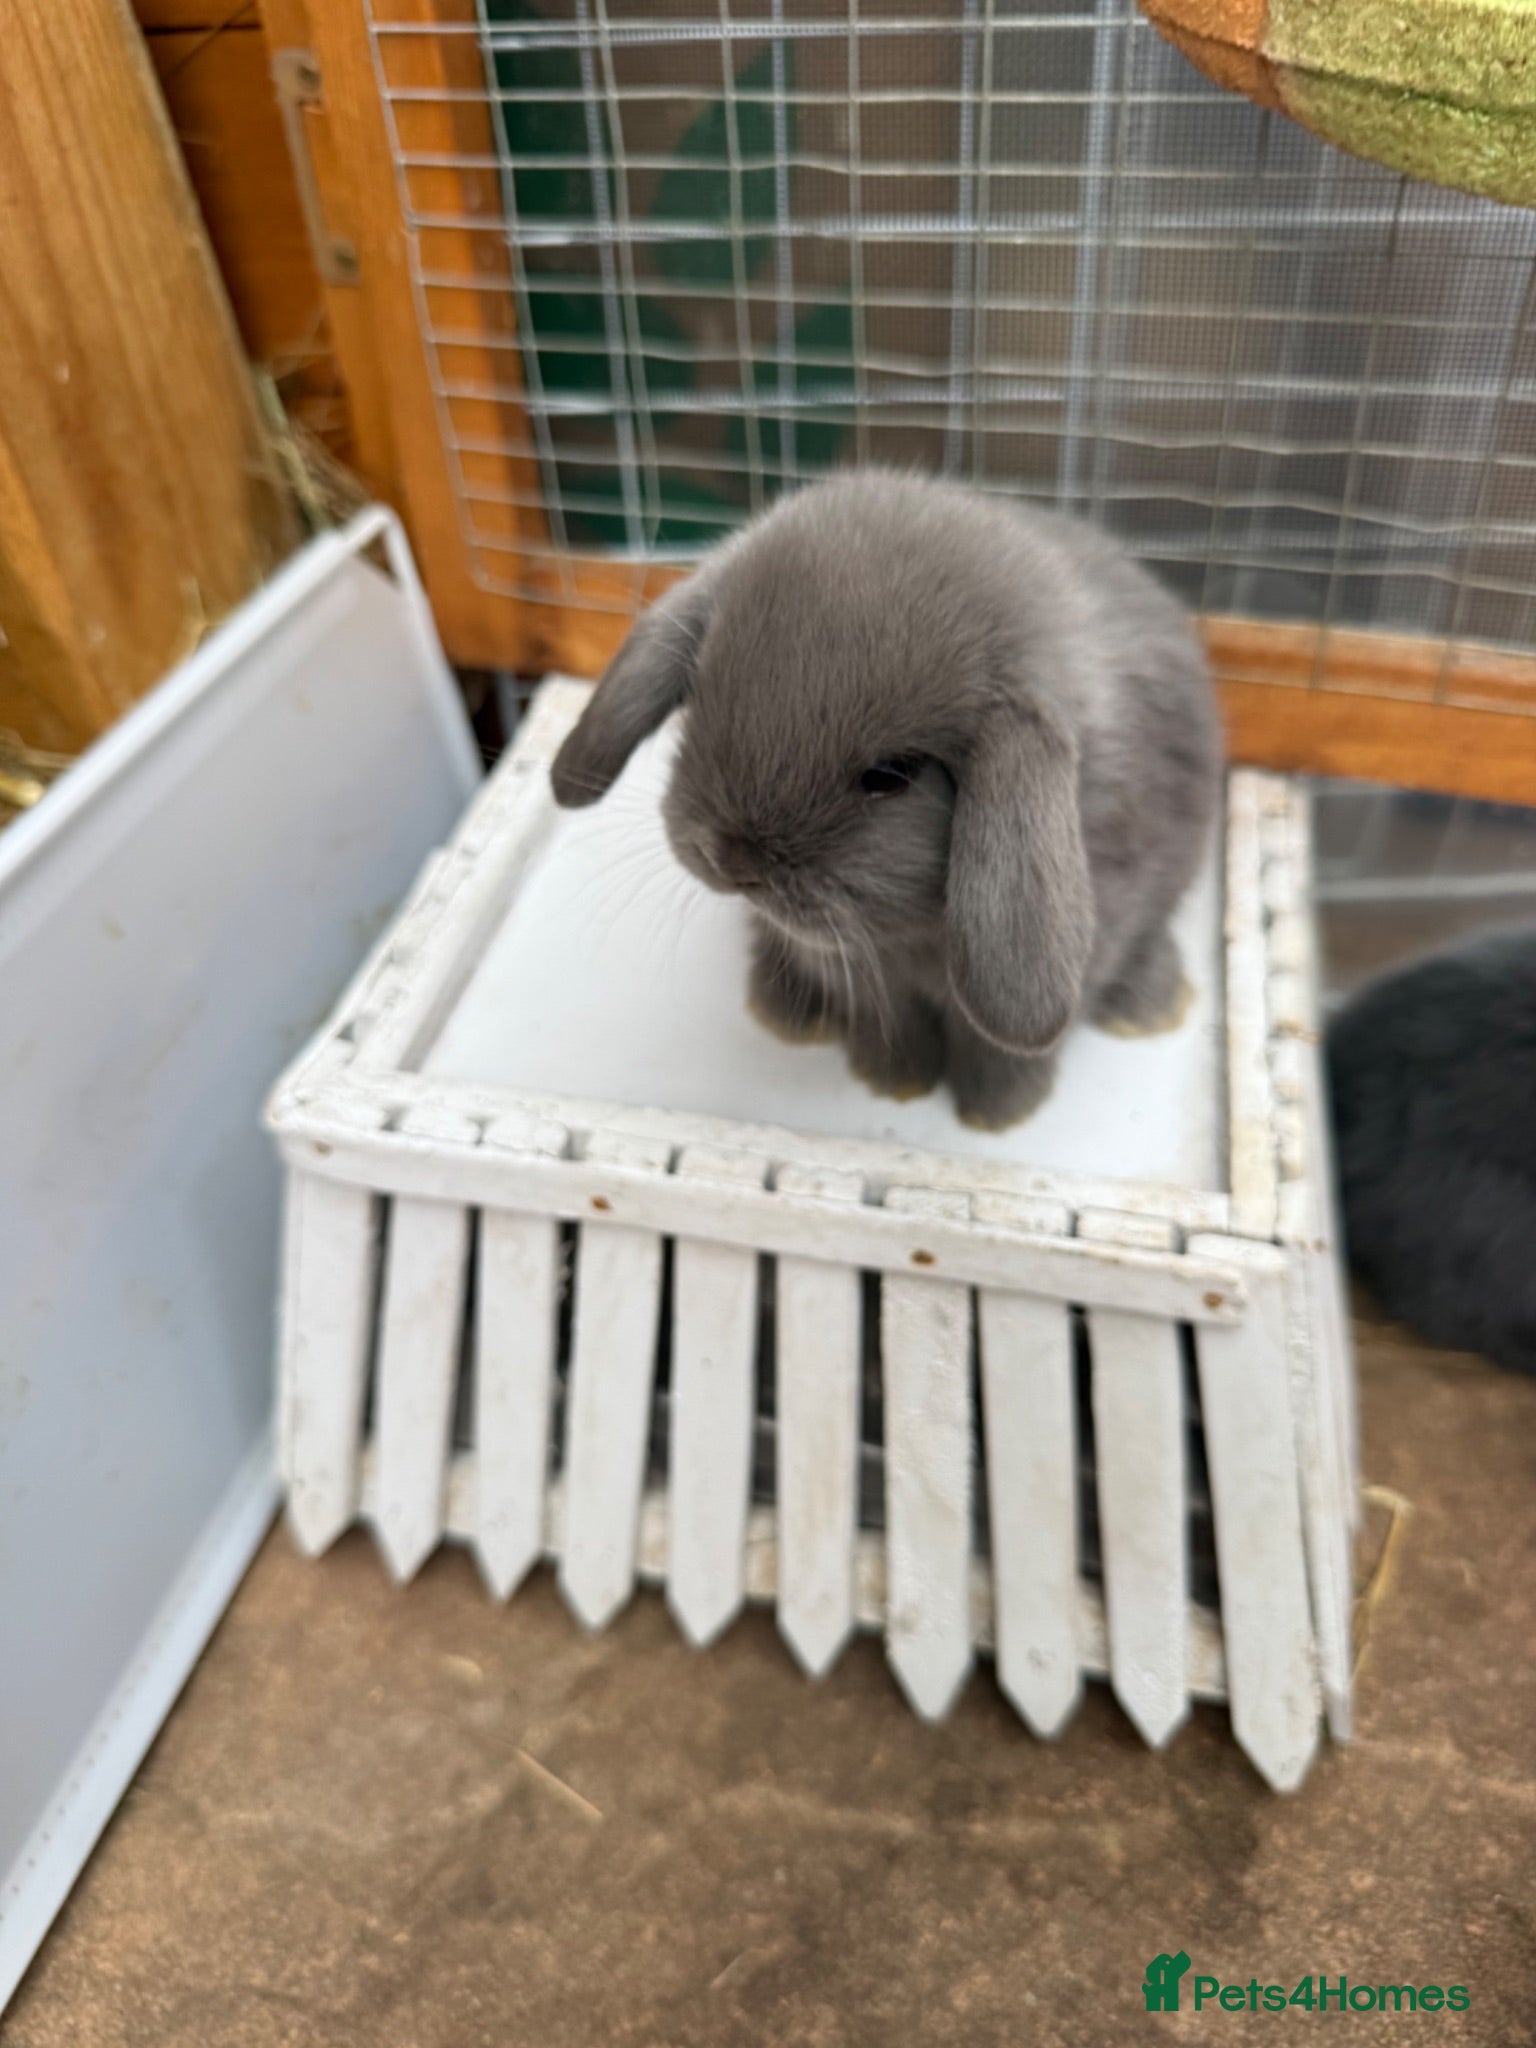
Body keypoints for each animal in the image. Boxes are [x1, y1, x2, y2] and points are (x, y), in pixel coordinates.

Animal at [550, 470, 1222, 1128]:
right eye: (698, 701)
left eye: (893, 775)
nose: (732, 861)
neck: (911, 935)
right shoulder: (849, 966)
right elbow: (887, 1016)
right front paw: (895, 1082)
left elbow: (1004, 1047)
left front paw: (998, 1113)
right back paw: (785, 1010)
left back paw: (1148, 1007)